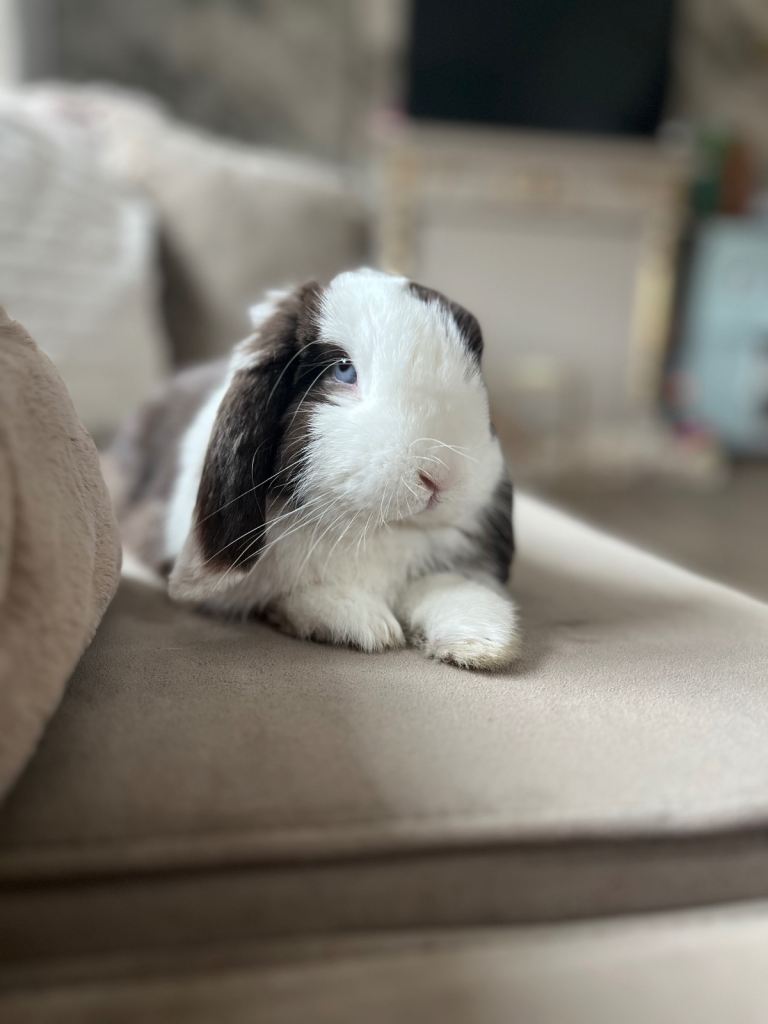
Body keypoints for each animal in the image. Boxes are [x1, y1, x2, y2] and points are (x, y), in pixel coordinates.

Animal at [111, 268, 519, 669]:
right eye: (343, 370)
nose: (441, 476)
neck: (374, 531)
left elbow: (445, 586)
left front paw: (481, 639)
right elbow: (296, 595)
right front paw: (367, 623)